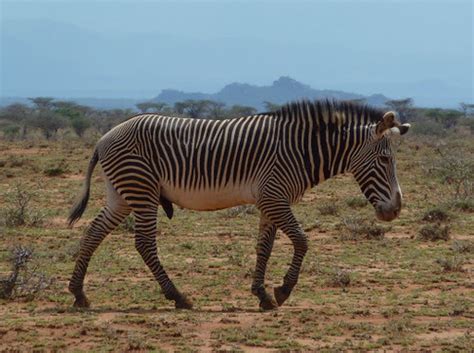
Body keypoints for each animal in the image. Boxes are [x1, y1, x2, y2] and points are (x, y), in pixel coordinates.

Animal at [67, 99, 412, 308]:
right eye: (385, 160)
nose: (396, 209)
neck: (300, 151)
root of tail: (103, 138)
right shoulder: (274, 196)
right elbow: (302, 240)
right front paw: (283, 290)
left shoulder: (269, 201)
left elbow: (265, 248)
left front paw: (261, 294)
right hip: (142, 189)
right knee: (144, 244)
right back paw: (178, 296)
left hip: (122, 194)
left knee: (93, 233)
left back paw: (79, 293)